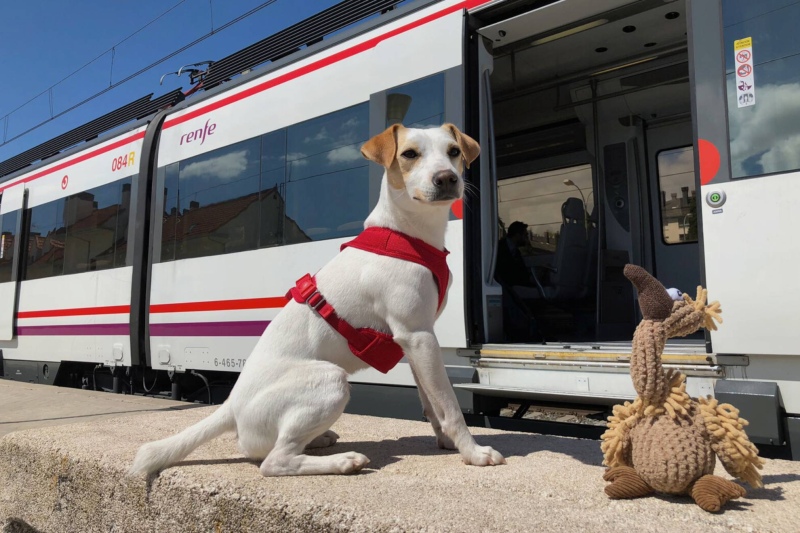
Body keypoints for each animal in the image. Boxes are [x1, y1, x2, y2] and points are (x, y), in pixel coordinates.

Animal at [131, 122, 506, 476]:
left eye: (454, 151)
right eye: (410, 154)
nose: (447, 178)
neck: (406, 235)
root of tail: (231, 406)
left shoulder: (415, 341)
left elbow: (431, 402)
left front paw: (446, 441)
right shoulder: (419, 335)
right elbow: (451, 405)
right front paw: (473, 453)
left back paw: (321, 439)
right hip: (331, 380)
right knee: (275, 461)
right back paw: (343, 461)